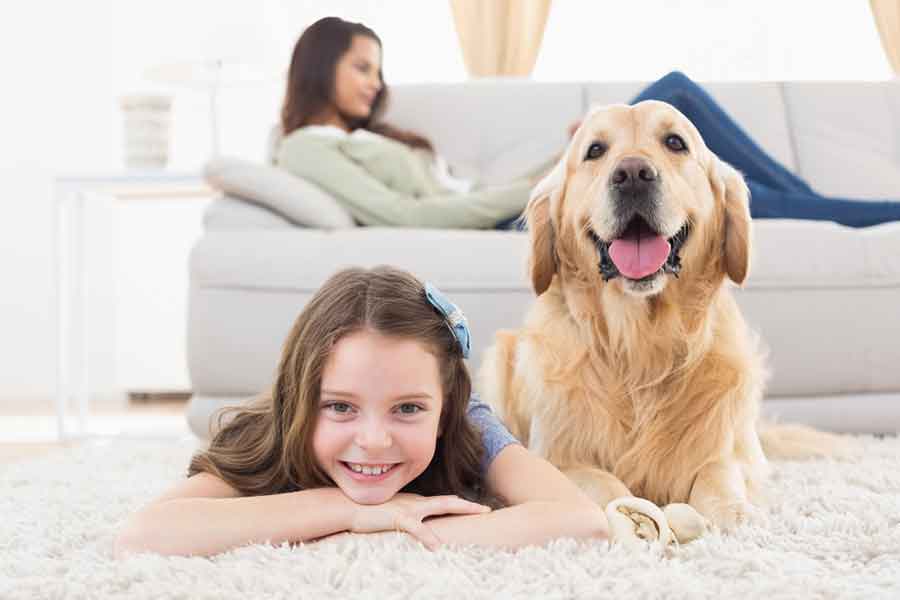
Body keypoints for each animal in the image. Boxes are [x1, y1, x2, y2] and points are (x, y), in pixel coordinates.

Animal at [482, 101, 848, 548]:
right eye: (595, 150)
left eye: (675, 142)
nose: (633, 173)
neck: (641, 346)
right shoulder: (556, 458)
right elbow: (605, 484)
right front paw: (633, 518)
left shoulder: (725, 448)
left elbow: (718, 475)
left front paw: (735, 515)